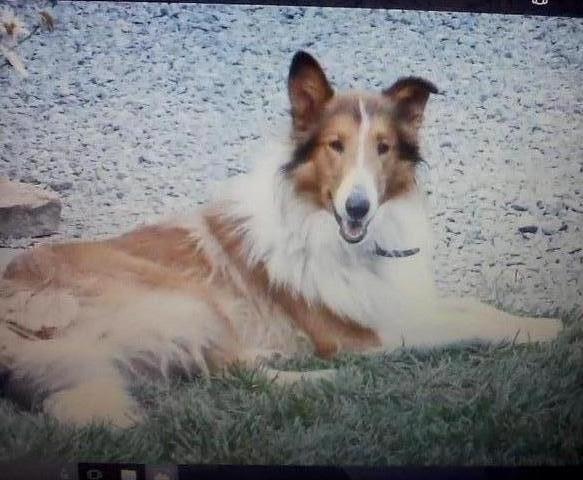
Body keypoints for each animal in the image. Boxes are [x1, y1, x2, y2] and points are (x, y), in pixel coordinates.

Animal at [0, 53, 564, 428]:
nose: (358, 207)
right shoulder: (365, 336)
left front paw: (537, 324)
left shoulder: (397, 302)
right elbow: (465, 326)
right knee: (224, 374)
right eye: (335, 146)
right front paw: (541, 332)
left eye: (383, 148)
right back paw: (317, 380)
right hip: (186, 302)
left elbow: (477, 308)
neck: (329, 228)